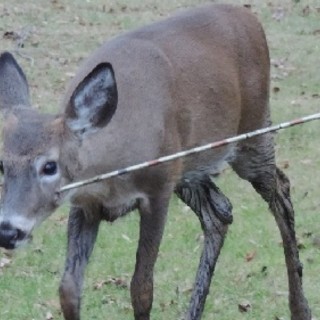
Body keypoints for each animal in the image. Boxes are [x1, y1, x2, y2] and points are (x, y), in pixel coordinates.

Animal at [0, 3, 312, 320]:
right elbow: (68, 289)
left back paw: (300, 308)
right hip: (190, 165)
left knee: (281, 190)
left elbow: (141, 288)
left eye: (49, 166)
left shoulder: (159, 187)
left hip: (253, 131)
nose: (8, 230)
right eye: (1, 164)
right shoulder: (85, 203)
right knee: (220, 210)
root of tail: (249, 16)